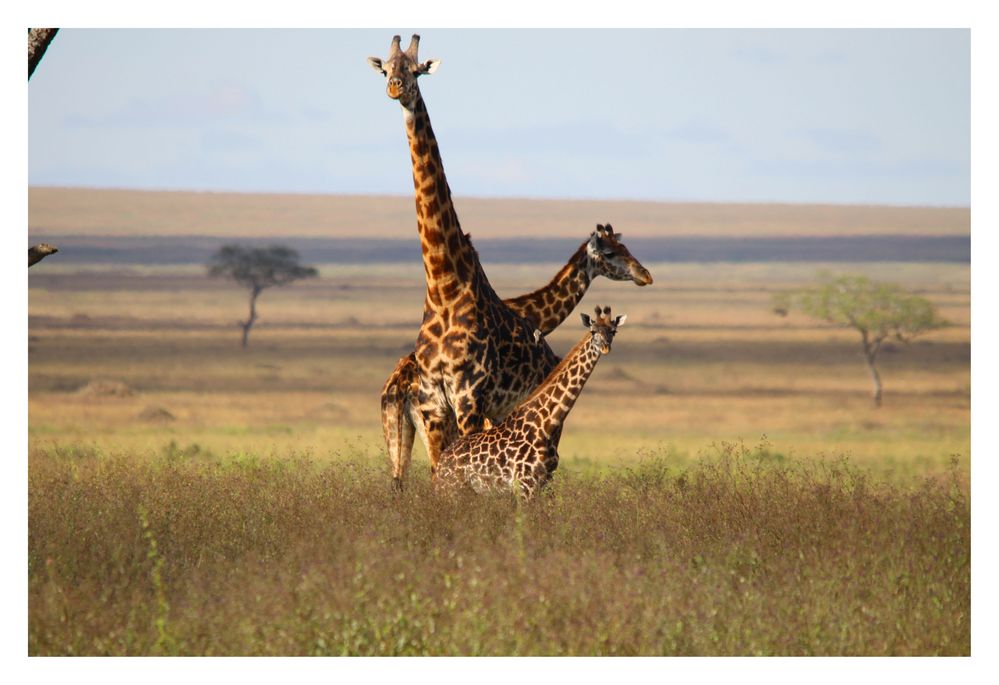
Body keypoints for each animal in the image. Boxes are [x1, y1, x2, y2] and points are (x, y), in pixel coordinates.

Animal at [436, 304, 624, 496]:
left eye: (613, 331)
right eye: (593, 331)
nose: (605, 347)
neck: (547, 424)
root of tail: (440, 465)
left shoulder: (545, 481)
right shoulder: (526, 484)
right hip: (453, 490)